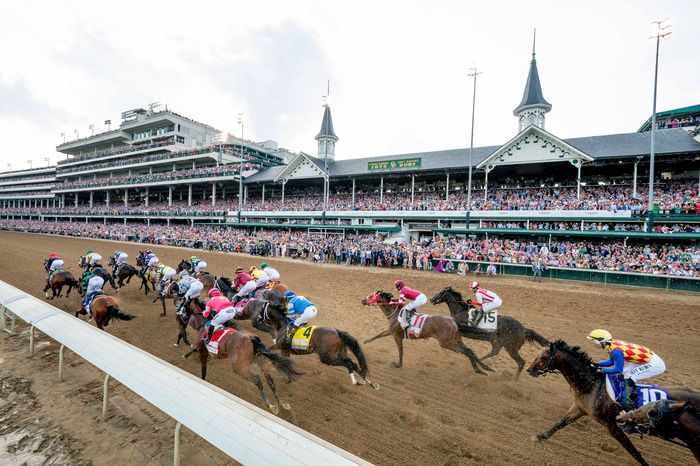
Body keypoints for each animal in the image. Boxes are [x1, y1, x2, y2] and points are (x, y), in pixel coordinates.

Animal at [360, 292, 492, 374]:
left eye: (371, 296)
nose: (362, 300)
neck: (395, 313)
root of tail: (453, 321)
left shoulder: (397, 336)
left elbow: (400, 350)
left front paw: (399, 364)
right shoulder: (391, 331)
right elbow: (378, 335)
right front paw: (365, 341)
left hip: (446, 343)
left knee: (466, 351)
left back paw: (479, 370)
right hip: (457, 339)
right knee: (470, 350)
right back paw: (487, 368)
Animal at [528, 338, 700, 466]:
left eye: (543, 357)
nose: (530, 370)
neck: (591, 385)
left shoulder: (611, 424)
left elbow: (632, 451)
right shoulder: (579, 407)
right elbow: (561, 423)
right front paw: (540, 436)